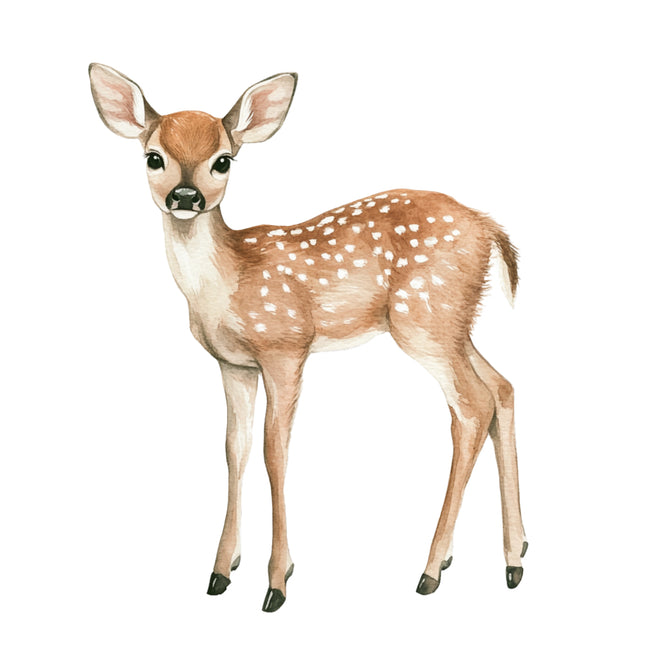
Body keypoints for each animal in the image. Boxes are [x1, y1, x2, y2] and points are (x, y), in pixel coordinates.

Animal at [89, 63, 527, 612]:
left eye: (222, 161)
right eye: (154, 157)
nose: (186, 198)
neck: (227, 282)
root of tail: (490, 229)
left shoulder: (286, 346)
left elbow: (274, 450)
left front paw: (277, 581)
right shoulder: (233, 364)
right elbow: (233, 449)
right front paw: (221, 570)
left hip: (423, 319)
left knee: (471, 406)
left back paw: (430, 570)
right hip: (454, 321)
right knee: (502, 387)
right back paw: (513, 558)